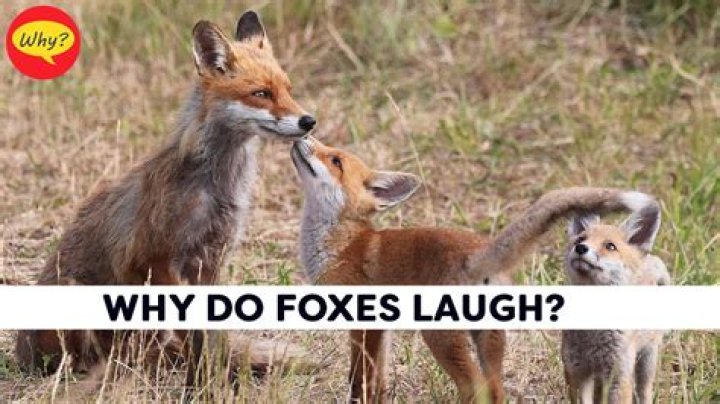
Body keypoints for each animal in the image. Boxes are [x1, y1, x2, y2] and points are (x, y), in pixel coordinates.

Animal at [15, 11, 316, 386]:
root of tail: (20, 354)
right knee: (101, 358)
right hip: (75, 297)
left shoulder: (209, 262)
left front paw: (210, 381)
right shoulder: (155, 258)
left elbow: (207, 338)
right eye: (261, 93)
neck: (215, 187)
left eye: (288, 90)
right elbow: (191, 331)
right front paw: (205, 385)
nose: (309, 121)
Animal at [562, 206, 669, 404]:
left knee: (644, 391)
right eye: (580, 239)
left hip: (647, 359)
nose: (580, 248)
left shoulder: (619, 376)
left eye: (610, 246)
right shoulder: (576, 370)